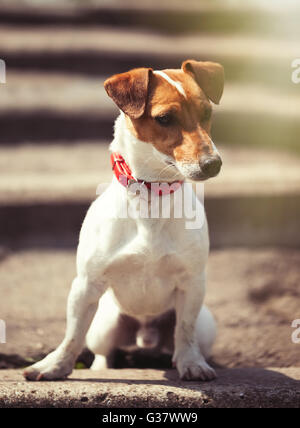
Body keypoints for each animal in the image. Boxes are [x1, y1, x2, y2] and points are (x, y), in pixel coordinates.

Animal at [24, 59, 224, 382]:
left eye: (207, 112)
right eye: (164, 118)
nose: (213, 164)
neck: (152, 195)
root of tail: (146, 334)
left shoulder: (192, 283)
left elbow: (185, 330)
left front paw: (192, 364)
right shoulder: (86, 285)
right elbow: (72, 335)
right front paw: (55, 366)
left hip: (207, 324)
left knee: (186, 336)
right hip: (104, 326)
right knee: (102, 352)